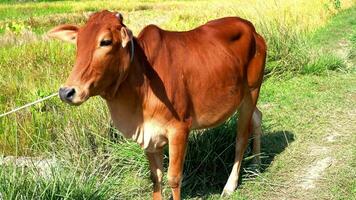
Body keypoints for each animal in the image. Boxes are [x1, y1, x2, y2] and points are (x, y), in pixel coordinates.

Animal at [48, 10, 266, 198]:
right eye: (78, 43)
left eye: (106, 41)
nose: (66, 92)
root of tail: (252, 29)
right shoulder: (148, 134)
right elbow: (156, 177)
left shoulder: (179, 129)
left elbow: (174, 178)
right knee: (257, 117)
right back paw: (256, 164)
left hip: (252, 90)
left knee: (241, 138)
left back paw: (230, 185)